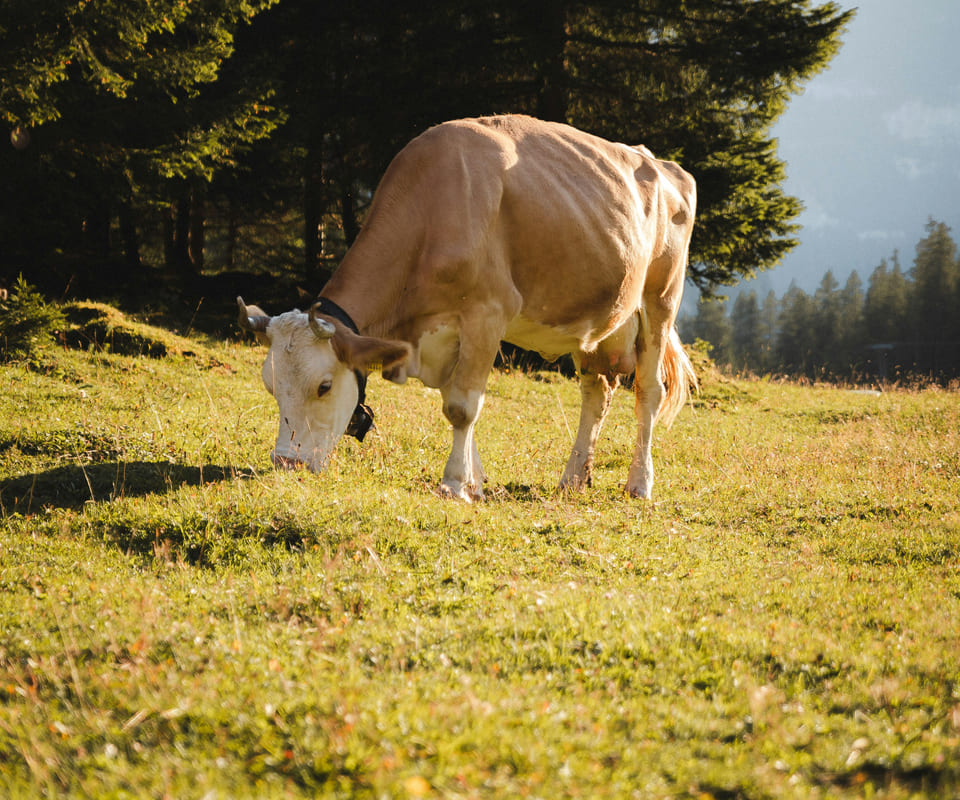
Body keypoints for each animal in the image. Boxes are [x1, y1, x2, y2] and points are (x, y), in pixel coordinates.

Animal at [238, 114, 697, 500]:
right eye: (270, 385)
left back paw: (639, 484)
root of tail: (662, 163)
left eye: (324, 386)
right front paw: (475, 481)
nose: (287, 463)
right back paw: (572, 478)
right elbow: (454, 398)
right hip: (597, 317)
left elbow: (462, 406)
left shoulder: (487, 313)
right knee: (595, 391)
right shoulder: (441, 333)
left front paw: (455, 484)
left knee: (648, 391)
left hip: (660, 300)